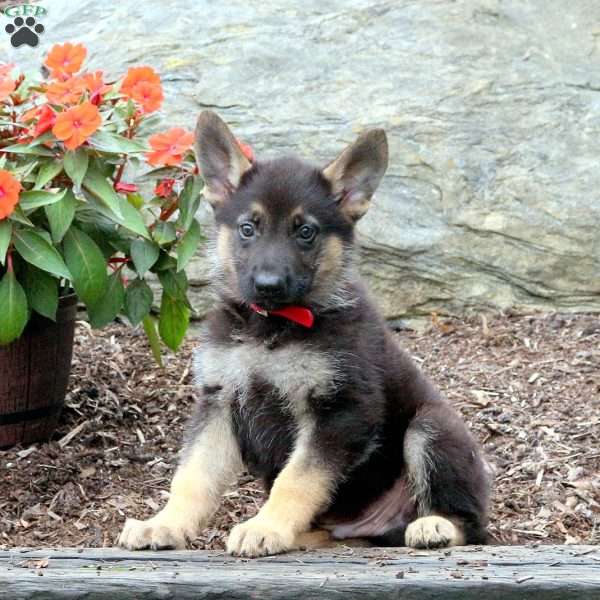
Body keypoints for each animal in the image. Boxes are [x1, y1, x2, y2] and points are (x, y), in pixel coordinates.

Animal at [118, 110, 492, 556]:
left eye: (306, 232)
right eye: (248, 228)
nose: (268, 285)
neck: (272, 326)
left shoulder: (339, 410)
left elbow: (296, 479)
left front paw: (266, 527)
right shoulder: (219, 402)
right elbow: (193, 476)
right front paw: (165, 524)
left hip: (433, 426)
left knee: (472, 524)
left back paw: (435, 526)